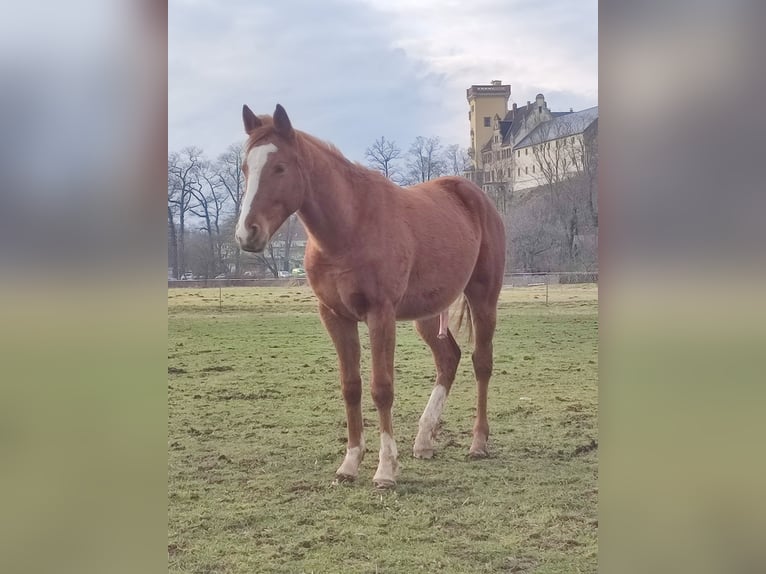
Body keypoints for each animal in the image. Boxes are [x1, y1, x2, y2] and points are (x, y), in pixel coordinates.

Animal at [237, 103, 508, 490]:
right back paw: (424, 440)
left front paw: (385, 469)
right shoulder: (335, 316)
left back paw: (478, 443)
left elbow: (382, 388)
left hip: (483, 298)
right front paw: (350, 464)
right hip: (427, 314)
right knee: (448, 360)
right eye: (246, 168)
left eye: (280, 167)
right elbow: (351, 386)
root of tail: (475, 194)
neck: (348, 228)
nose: (247, 233)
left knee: (481, 363)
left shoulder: (380, 315)